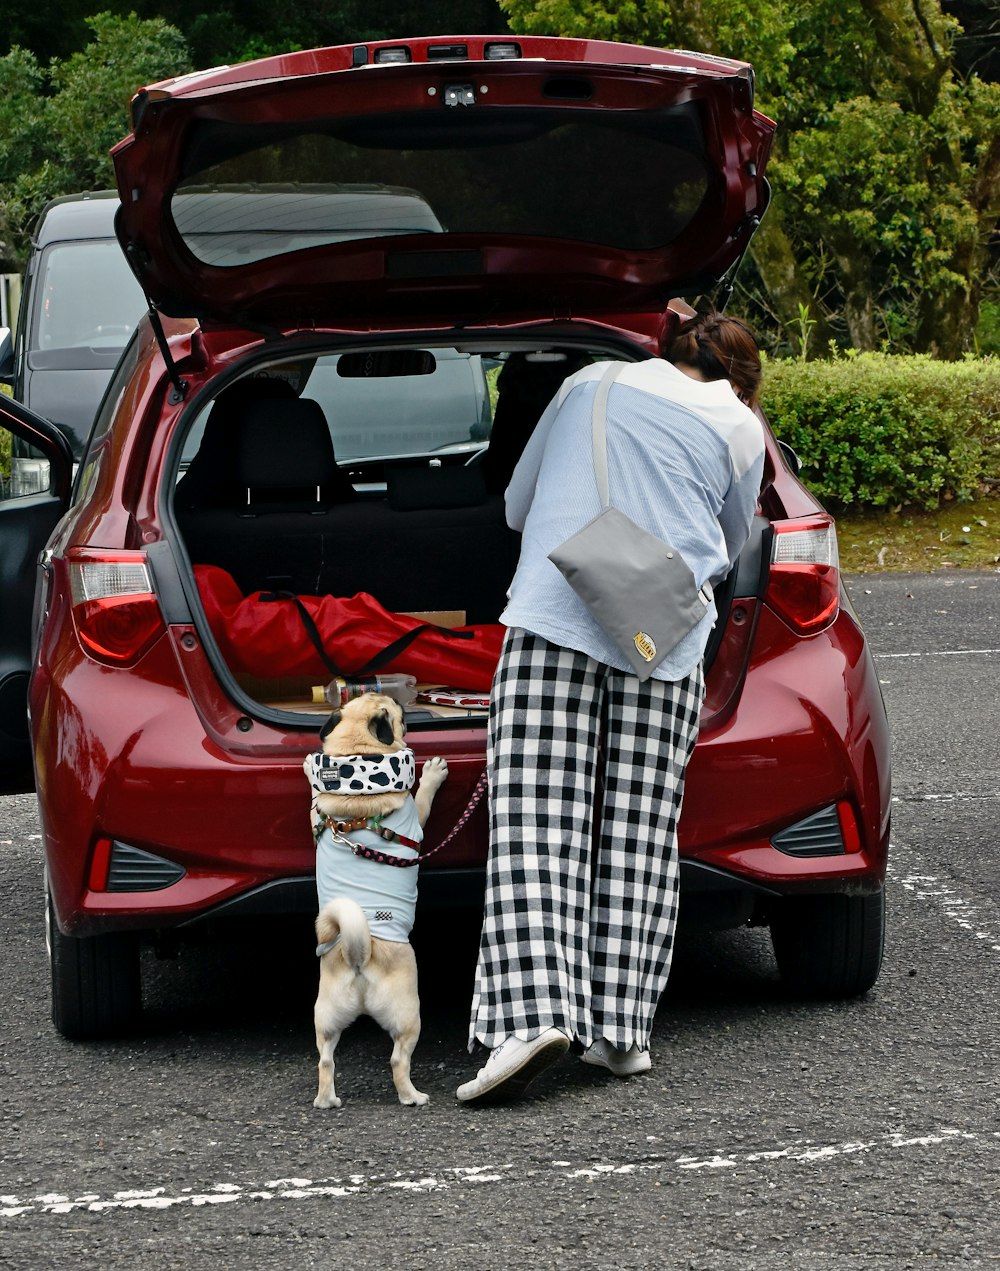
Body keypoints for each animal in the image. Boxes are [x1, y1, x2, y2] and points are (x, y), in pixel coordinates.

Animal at [301, 691, 449, 1108]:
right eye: (396, 711)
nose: (401, 698)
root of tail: (358, 953)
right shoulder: (416, 815)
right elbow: (423, 797)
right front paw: (433, 774)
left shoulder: (317, 811)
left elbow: (314, 799)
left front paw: (309, 766)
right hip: (409, 1014)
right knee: (398, 1059)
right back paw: (412, 1096)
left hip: (325, 1017)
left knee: (325, 1060)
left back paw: (327, 1100)